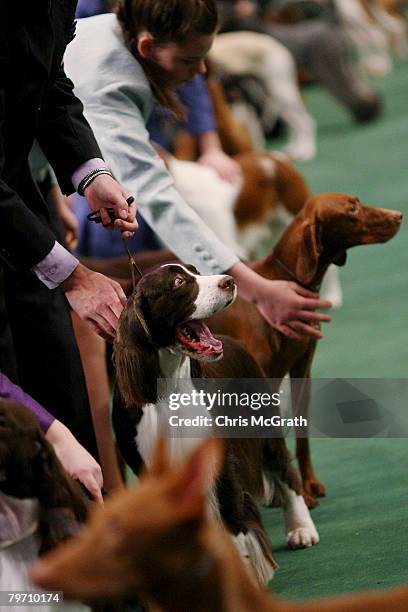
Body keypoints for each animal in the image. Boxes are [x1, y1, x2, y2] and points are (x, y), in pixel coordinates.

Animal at [111, 266, 318, 584]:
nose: (229, 281)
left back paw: (301, 529)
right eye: (178, 282)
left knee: (285, 469)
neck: (168, 389)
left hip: (263, 422)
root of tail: (234, 341)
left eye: (195, 271)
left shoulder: (218, 458)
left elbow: (233, 520)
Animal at [207, 192, 402, 506]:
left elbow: (302, 436)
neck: (283, 281)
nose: (398, 216)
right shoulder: (259, 380)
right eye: (351, 210)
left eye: (357, 202)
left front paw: (308, 484)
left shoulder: (302, 369)